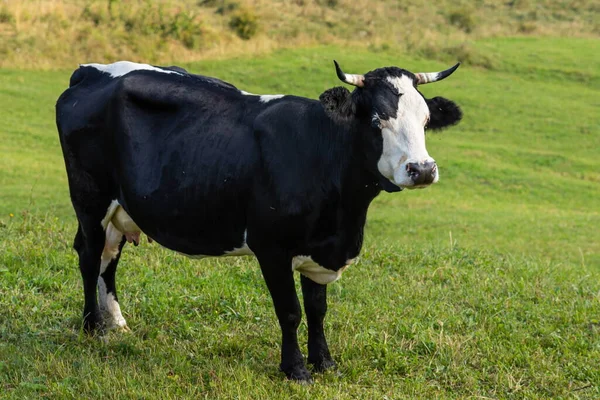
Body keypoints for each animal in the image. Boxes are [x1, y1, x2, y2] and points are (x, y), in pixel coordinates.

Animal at [56, 59, 462, 382]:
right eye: (378, 120)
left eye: (426, 120)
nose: (423, 169)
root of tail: (88, 71)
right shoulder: (272, 247)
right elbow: (291, 311)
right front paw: (295, 369)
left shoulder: (320, 249)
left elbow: (318, 310)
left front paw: (324, 363)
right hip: (90, 199)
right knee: (89, 256)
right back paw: (92, 326)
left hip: (121, 209)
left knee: (110, 258)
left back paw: (116, 323)